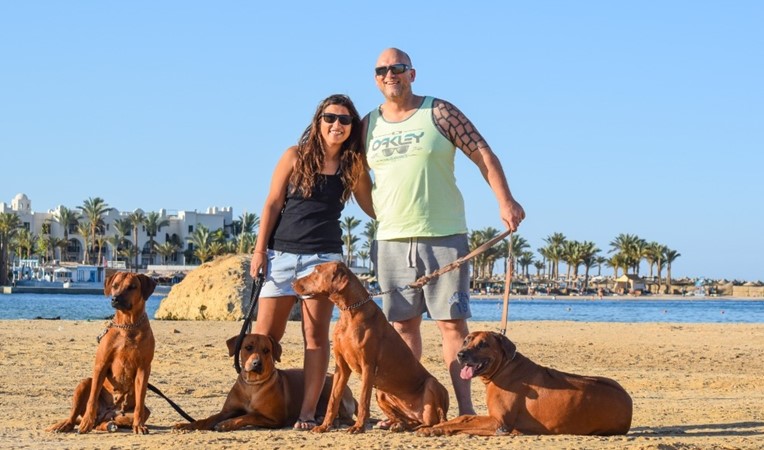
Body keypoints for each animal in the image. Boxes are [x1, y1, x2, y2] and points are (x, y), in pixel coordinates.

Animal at [46, 270, 158, 432]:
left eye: (132, 287)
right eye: (115, 285)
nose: (115, 298)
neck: (128, 325)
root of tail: (107, 412)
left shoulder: (143, 368)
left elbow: (140, 403)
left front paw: (139, 425)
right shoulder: (101, 364)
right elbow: (92, 399)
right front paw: (86, 421)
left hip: (125, 413)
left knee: (108, 422)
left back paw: (110, 425)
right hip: (84, 383)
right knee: (75, 416)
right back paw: (69, 423)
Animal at [172, 334, 356, 432]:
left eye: (266, 350)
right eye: (248, 347)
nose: (256, 363)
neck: (252, 386)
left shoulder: (274, 419)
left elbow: (248, 415)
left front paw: (226, 424)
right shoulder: (228, 410)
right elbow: (208, 418)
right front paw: (186, 424)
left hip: (332, 388)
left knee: (346, 417)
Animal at [290, 262, 448, 434]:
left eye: (317, 271)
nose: (292, 282)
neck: (350, 312)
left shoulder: (368, 367)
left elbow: (364, 400)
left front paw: (358, 427)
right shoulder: (341, 367)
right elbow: (333, 400)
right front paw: (324, 426)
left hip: (432, 384)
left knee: (433, 421)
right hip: (381, 393)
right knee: (412, 421)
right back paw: (398, 425)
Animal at [418, 330, 632, 436]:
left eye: (483, 344)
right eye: (465, 341)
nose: (460, 355)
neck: (503, 367)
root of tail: (629, 402)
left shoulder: (499, 422)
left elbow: (467, 424)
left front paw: (434, 430)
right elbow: (463, 419)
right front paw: (433, 426)